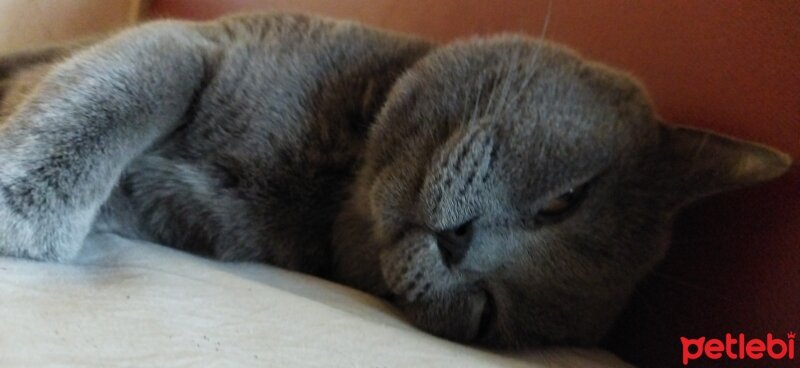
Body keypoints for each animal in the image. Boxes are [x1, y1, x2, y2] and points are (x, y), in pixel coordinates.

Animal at [0, 12, 792, 348]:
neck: (334, 175)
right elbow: (122, 88)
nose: (460, 245)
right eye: (567, 198)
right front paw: (24, 204)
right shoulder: (200, 41)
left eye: (487, 315)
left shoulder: (190, 216)